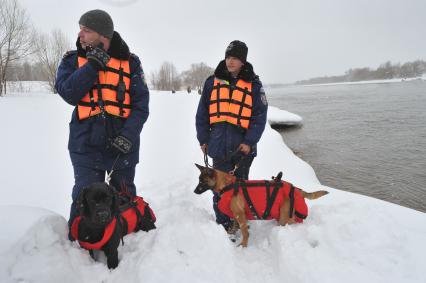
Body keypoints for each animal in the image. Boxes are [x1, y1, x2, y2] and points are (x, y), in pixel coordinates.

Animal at [195, 164, 328, 248]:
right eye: (199, 180)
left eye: (202, 181)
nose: (194, 191)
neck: (227, 185)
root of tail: (297, 189)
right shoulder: (236, 215)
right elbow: (234, 227)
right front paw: (231, 234)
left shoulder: (240, 215)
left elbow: (245, 233)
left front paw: (243, 246)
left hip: (285, 217)